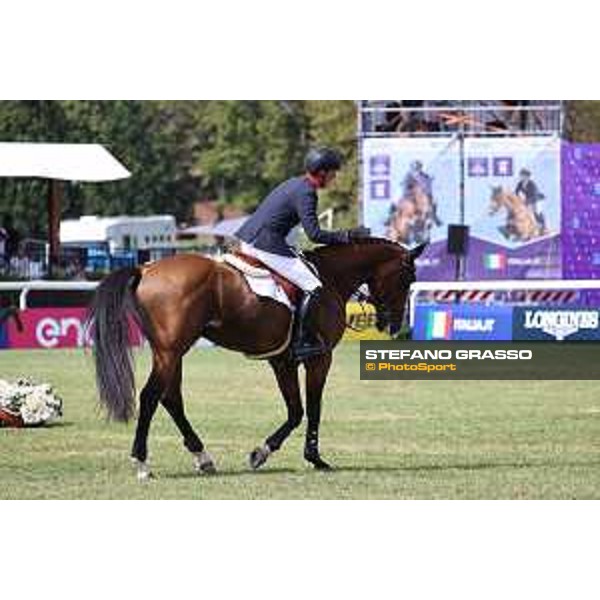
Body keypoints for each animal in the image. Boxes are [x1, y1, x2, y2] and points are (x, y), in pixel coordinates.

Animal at [86, 239, 424, 478]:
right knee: (150, 397)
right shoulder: (319, 358)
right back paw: (142, 463)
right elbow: (312, 409)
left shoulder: (282, 361)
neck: (331, 278)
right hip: (170, 352)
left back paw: (203, 457)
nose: (394, 324)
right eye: (408, 277)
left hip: (171, 352)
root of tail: (145, 268)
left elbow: (296, 410)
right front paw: (310, 457)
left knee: (171, 399)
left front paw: (264, 452)